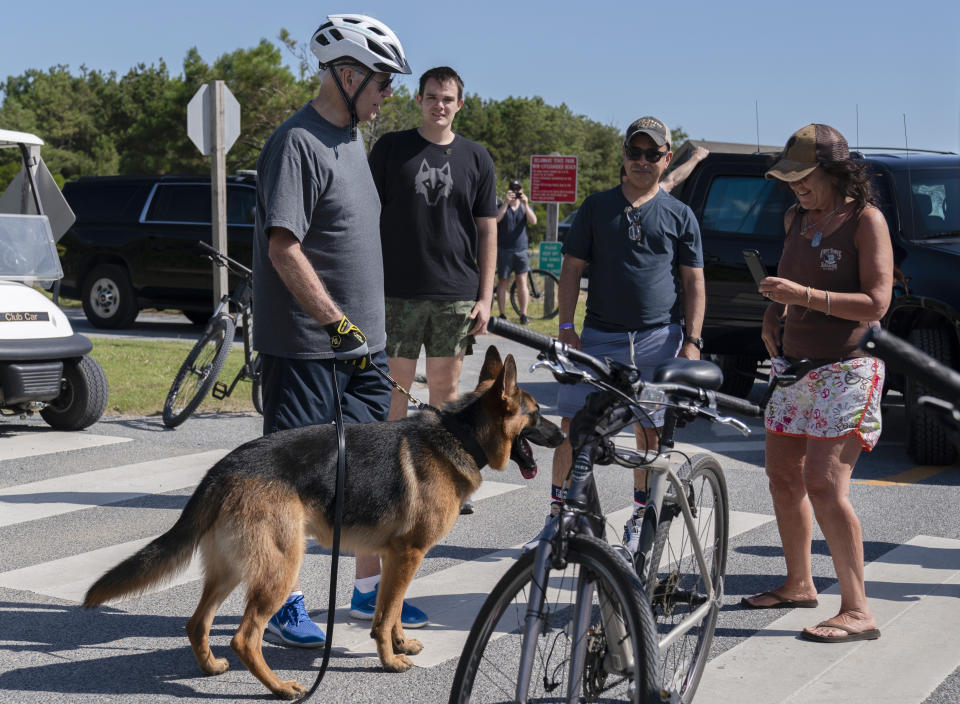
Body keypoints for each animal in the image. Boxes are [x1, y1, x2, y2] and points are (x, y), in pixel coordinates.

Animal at [84, 346, 564, 700]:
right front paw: (389, 661)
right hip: (280, 567)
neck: (459, 434)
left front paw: (399, 644)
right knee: (245, 638)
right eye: (537, 414)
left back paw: (211, 667)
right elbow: (385, 614)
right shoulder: (409, 555)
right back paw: (280, 687)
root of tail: (225, 467)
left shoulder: (396, 558)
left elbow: (390, 612)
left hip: (231, 569)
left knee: (197, 623)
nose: (563, 436)